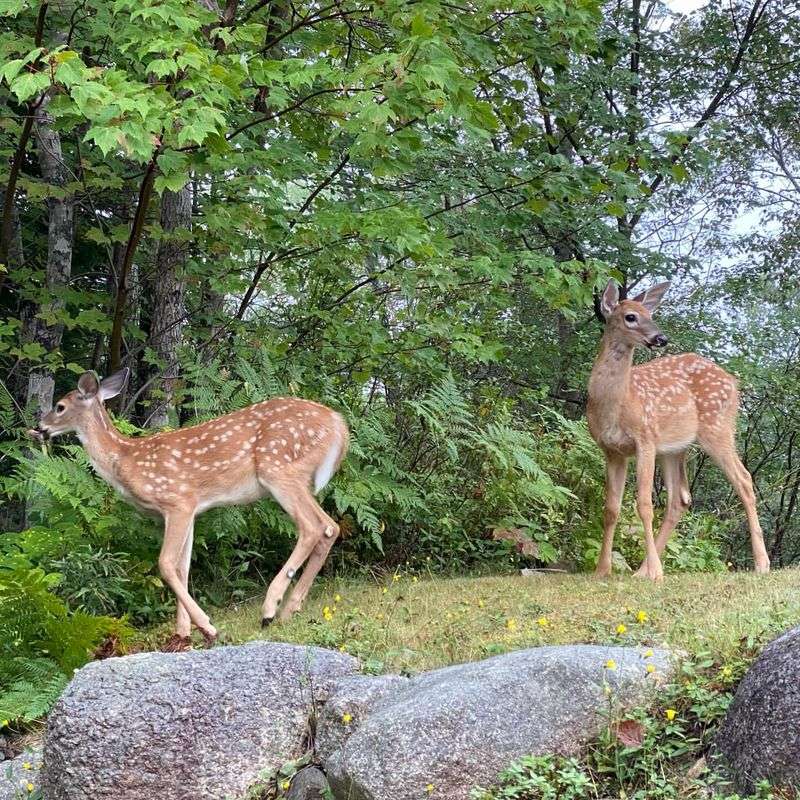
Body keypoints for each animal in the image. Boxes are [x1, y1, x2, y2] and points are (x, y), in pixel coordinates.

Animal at [28, 368, 349, 651]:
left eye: (59, 406)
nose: (40, 427)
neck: (127, 460)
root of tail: (339, 424)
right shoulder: (192, 509)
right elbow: (183, 567)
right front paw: (182, 635)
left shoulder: (177, 501)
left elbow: (166, 564)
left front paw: (207, 627)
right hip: (296, 477)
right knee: (331, 526)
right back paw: (289, 611)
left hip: (279, 469)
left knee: (313, 527)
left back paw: (270, 609)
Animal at [586, 279, 770, 581]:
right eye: (631, 317)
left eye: (651, 314)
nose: (661, 338)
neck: (617, 404)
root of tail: (734, 382)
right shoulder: (612, 450)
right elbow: (611, 508)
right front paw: (602, 570)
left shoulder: (645, 439)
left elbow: (644, 505)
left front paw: (656, 574)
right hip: (674, 449)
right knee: (679, 499)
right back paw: (642, 570)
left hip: (717, 429)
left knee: (744, 480)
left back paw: (762, 563)